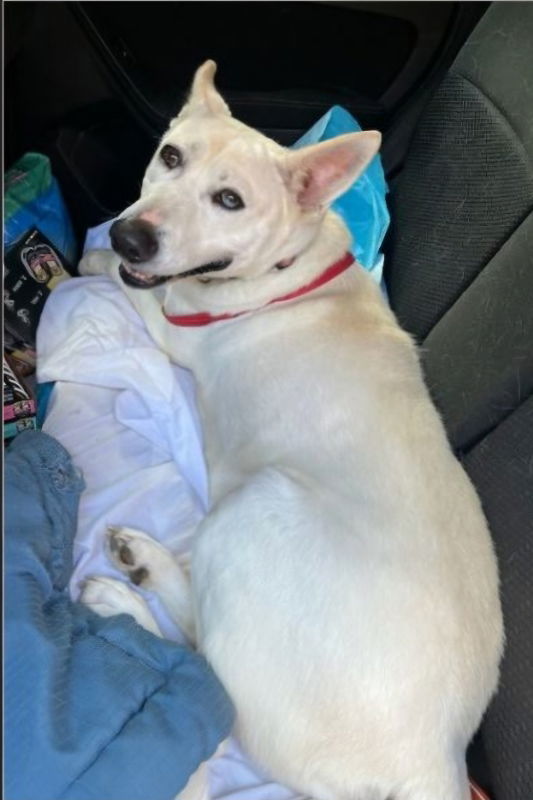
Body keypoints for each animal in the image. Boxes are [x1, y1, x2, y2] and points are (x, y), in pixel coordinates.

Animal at [80, 62, 502, 800]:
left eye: (229, 200)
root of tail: (433, 759)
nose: (132, 237)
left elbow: (129, 287)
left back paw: (129, 581)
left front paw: (92, 262)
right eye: (170, 157)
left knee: (205, 674)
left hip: (252, 511)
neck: (290, 266)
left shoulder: (173, 323)